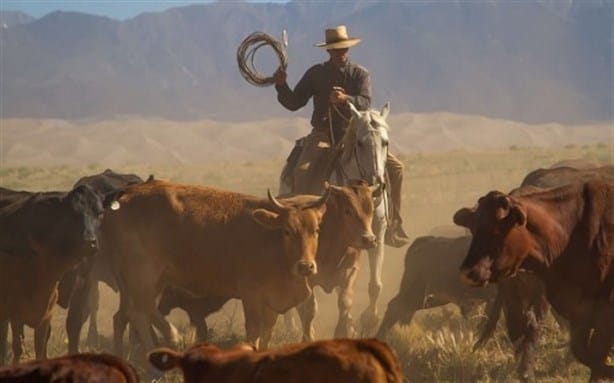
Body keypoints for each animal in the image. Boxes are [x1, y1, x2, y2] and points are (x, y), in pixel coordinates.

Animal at [0, 186, 104, 366]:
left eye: (100, 213)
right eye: (73, 214)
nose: (89, 243)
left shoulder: (48, 315)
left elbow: (48, 343)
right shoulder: (16, 317)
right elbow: (18, 347)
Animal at [101, 180, 332, 356]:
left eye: (316, 230)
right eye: (287, 231)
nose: (305, 267)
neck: (271, 241)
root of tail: (126, 195)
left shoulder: (272, 301)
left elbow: (268, 330)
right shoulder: (251, 294)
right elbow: (254, 331)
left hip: (140, 281)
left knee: (124, 316)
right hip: (144, 275)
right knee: (140, 311)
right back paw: (169, 340)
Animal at [292, 101, 390, 340]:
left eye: (385, 142)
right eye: (360, 143)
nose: (377, 184)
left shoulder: (377, 233)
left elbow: (374, 284)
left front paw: (368, 320)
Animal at [454, 182, 612, 382]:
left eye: (497, 228)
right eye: (473, 227)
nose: (467, 272)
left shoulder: (603, 313)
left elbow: (594, 354)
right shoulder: (580, 311)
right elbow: (583, 352)